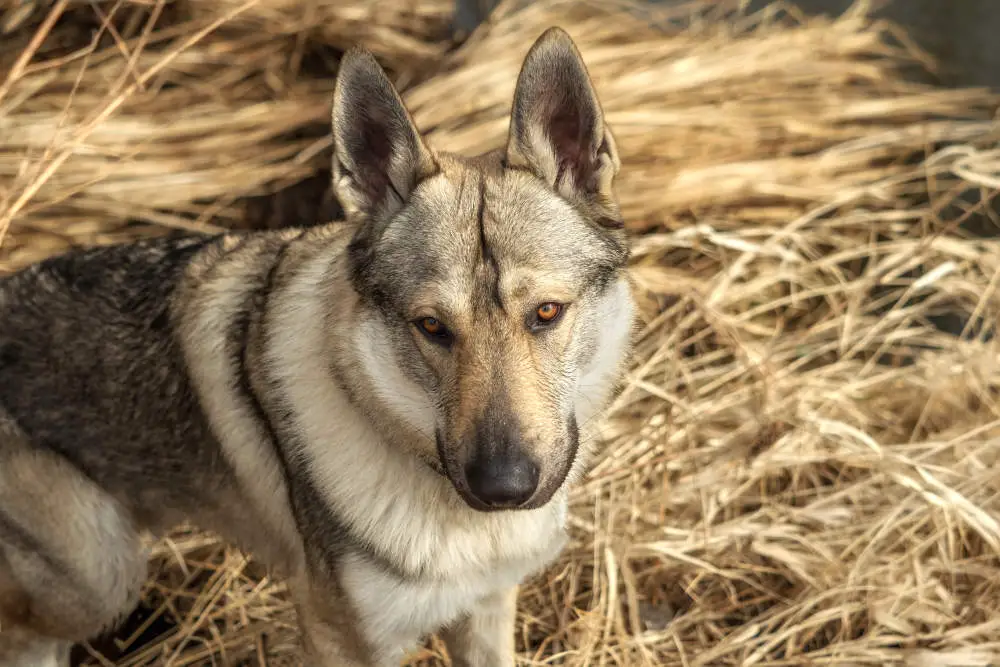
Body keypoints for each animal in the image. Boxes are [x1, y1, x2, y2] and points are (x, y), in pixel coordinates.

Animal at [0, 27, 632, 667]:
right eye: (431, 327)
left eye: (546, 313)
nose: (502, 487)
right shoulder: (340, 636)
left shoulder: (486, 608)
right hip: (104, 574)